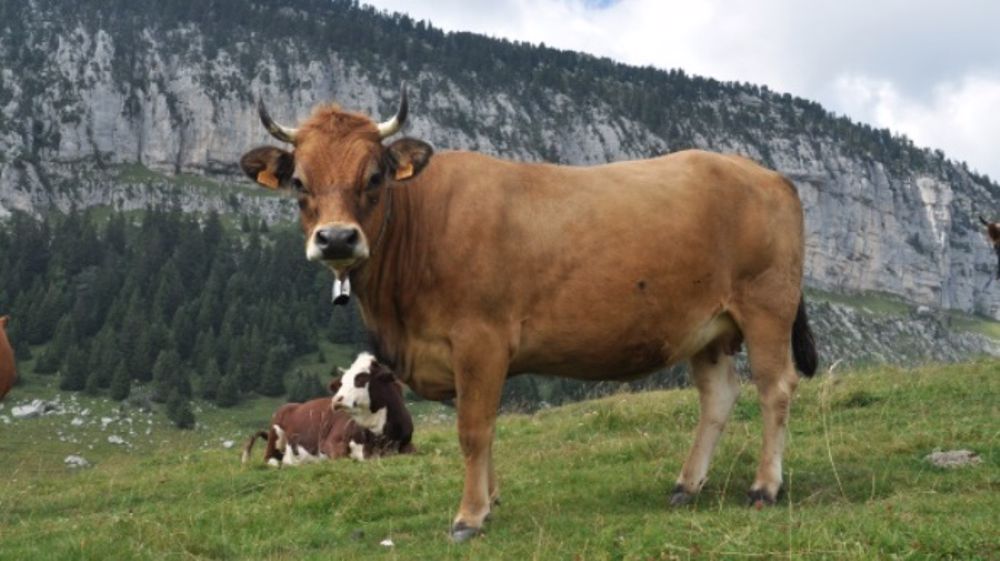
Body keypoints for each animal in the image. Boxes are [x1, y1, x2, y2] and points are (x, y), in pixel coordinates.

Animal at [238, 86, 818, 541]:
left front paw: (469, 516)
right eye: (299, 184)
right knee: (718, 397)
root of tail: (765, 174)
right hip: (708, 329)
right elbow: (486, 426)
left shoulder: (480, 339)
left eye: (375, 176)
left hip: (766, 306)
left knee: (775, 389)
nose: (337, 238)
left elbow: (473, 430)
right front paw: (490, 501)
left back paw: (764, 486)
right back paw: (686, 485)